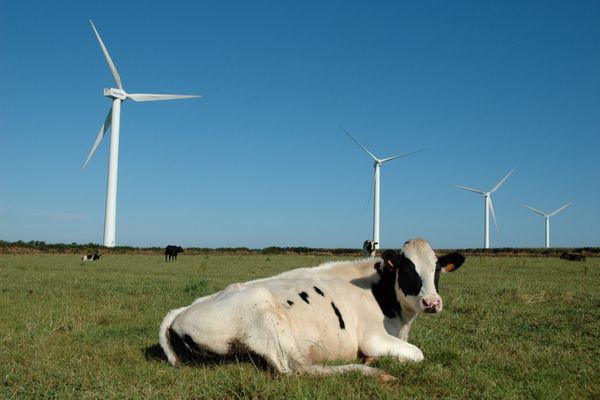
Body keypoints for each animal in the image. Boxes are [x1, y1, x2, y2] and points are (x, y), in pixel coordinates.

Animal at [158, 239, 464, 380]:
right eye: (408, 269)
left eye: (437, 269)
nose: (432, 303)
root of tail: (182, 310)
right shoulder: (374, 339)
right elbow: (418, 354)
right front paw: (374, 360)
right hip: (268, 321)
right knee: (295, 370)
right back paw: (375, 372)